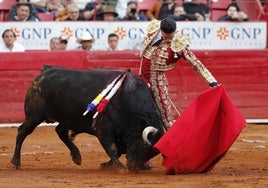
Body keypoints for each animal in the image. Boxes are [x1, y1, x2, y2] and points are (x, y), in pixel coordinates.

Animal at [10, 65, 164, 172]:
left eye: (152, 153)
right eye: (144, 146)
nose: (133, 167)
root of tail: (45, 71)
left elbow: (118, 150)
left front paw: (106, 165)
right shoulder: (103, 129)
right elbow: (112, 149)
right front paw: (120, 168)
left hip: (68, 117)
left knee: (60, 131)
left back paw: (77, 157)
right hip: (34, 116)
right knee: (22, 131)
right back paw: (15, 162)